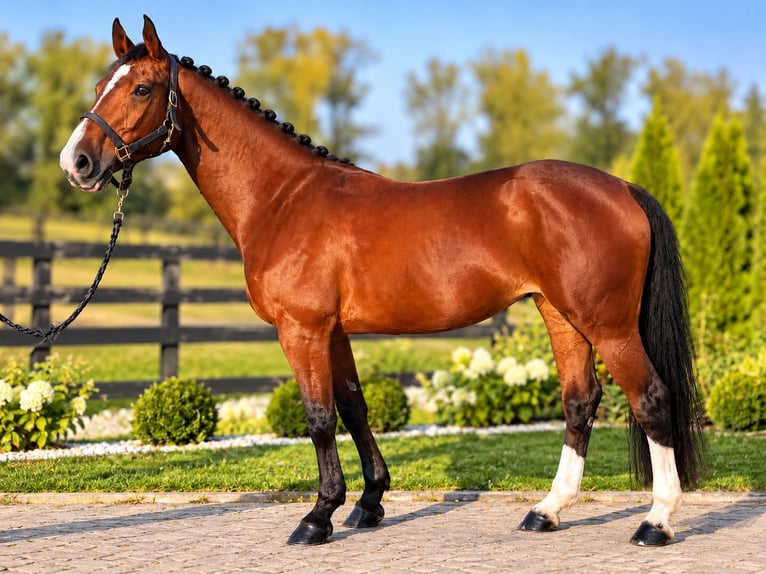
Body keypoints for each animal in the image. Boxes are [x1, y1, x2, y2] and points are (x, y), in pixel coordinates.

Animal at [60, 15, 705, 546]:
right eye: (99, 88)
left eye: (141, 89)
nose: (77, 163)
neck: (283, 199)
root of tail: (622, 188)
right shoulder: (333, 331)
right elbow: (353, 407)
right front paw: (367, 503)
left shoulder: (302, 329)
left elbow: (319, 418)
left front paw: (317, 517)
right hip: (561, 315)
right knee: (579, 403)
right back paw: (546, 511)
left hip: (609, 325)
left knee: (650, 399)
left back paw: (656, 521)